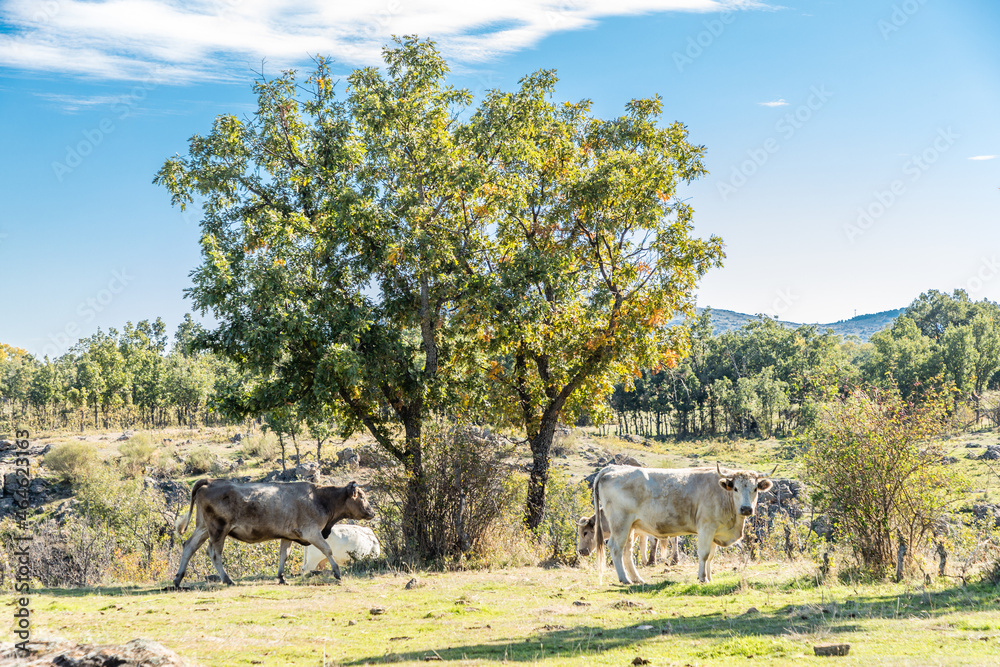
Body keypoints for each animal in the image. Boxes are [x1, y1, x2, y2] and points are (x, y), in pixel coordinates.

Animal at [172, 478, 375, 588]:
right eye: (362, 496)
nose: (372, 512)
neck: (320, 499)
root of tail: (211, 481)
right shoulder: (312, 532)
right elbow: (327, 549)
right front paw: (337, 572)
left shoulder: (288, 536)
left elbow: (283, 555)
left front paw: (281, 577)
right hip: (218, 529)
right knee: (214, 553)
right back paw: (228, 579)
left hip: (203, 528)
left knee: (189, 546)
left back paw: (177, 579)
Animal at [588, 462, 775, 585]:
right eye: (735, 488)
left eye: (755, 489)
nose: (746, 509)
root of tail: (613, 467)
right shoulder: (706, 528)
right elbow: (704, 554)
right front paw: (703, 578)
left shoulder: (715, 531)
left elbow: (711, 556)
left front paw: (709, 577)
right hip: (620, 523)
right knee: (615, 548)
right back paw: (624, 579)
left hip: (631, 526)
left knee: (626, 551)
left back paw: (637, 579)